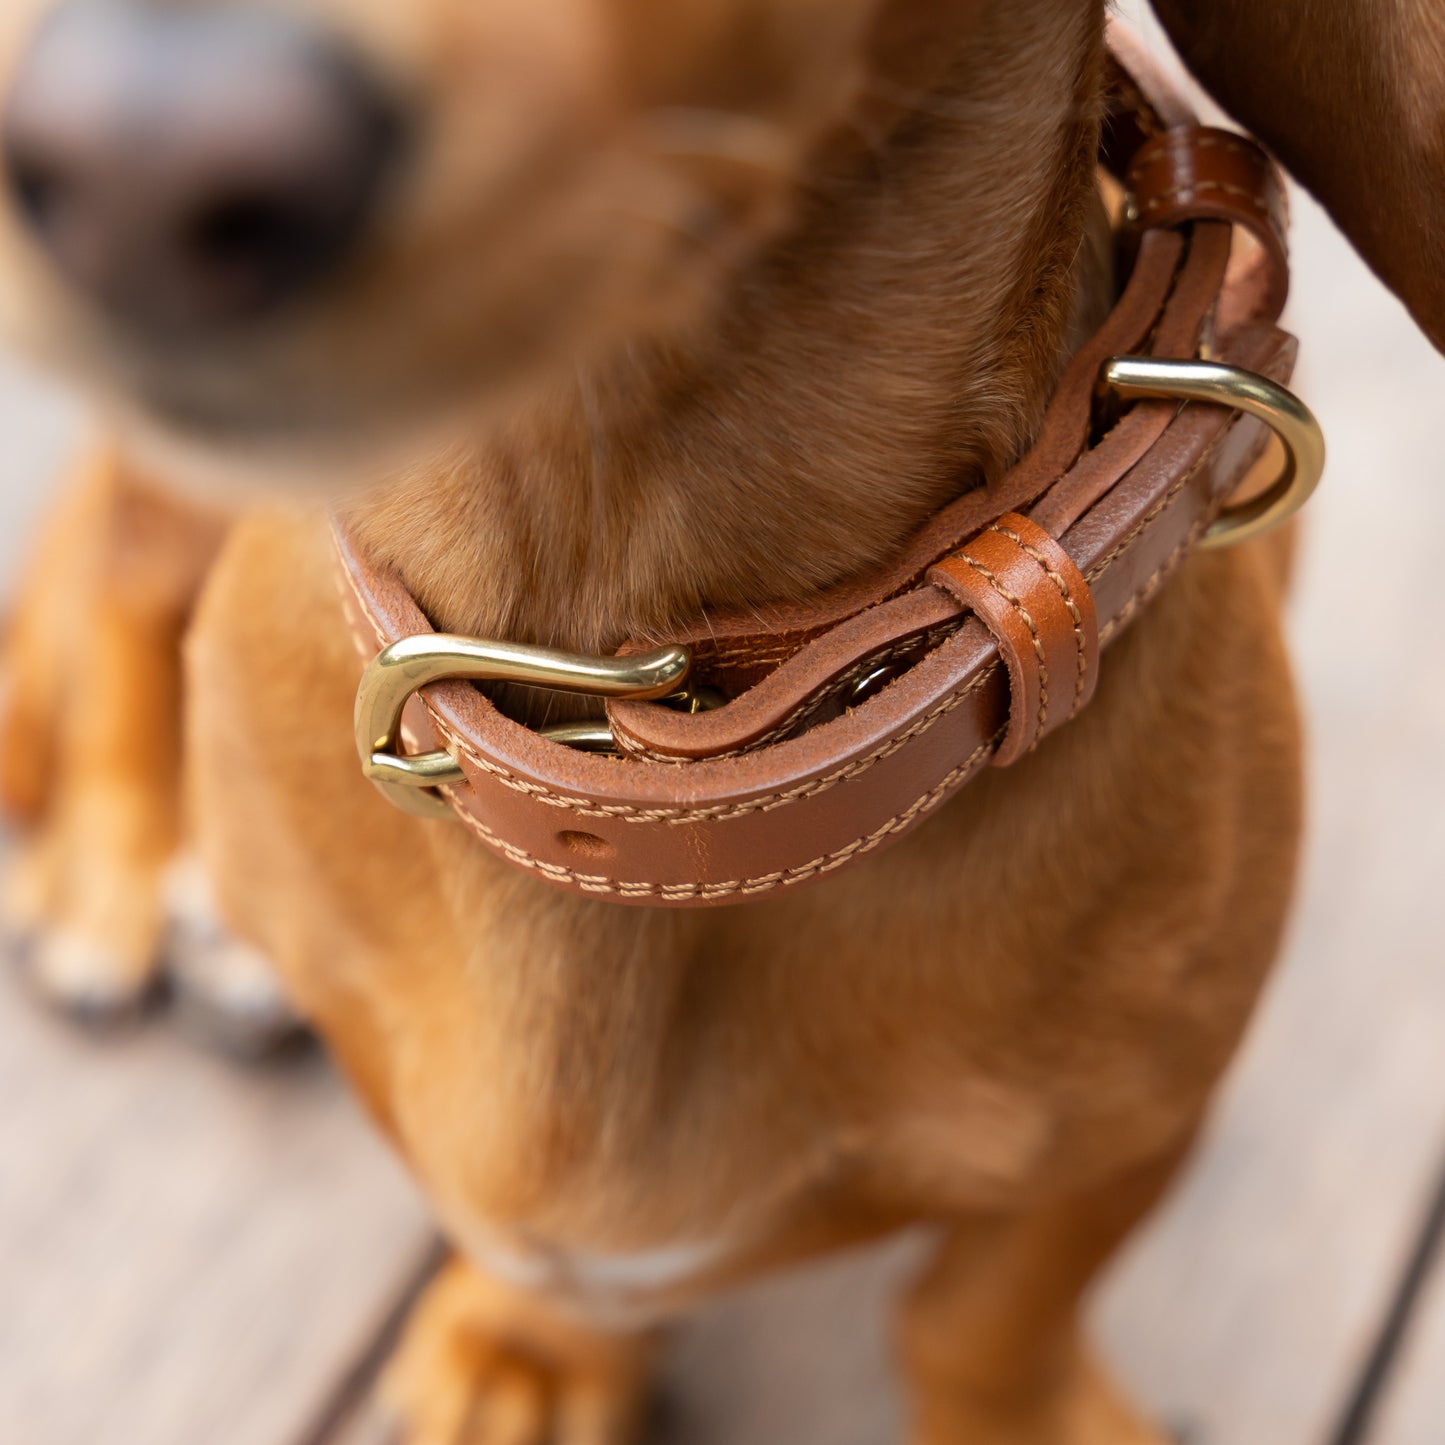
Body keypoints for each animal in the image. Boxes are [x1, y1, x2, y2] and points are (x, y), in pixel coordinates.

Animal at [0, 2, 1439, 1445]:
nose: (143, 151)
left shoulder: (1133, 1124)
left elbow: (987, 1315)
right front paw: (534, 1346)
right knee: (123, 573)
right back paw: (127, 873)